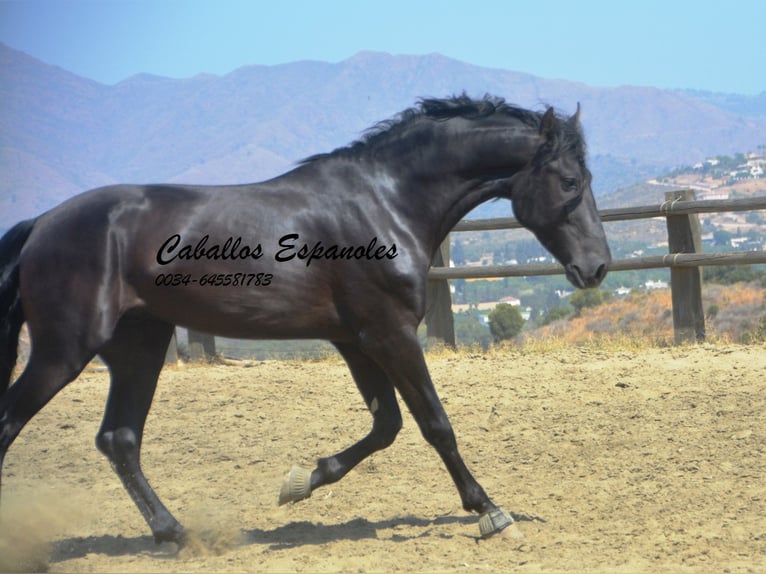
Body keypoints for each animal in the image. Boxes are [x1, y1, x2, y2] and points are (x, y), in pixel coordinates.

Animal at [0, 94, 612, 544]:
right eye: (569, 182)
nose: (597, 267)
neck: (383, 204)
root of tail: (42, 224)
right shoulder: (389, 335)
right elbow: (434, 423)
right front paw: (489, 511)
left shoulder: (356, 340)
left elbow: (386, 425)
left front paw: (298, 482)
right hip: (64, 350)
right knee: (17, 422)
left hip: (138, 346)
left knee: (119, 438)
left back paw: (176, 534)